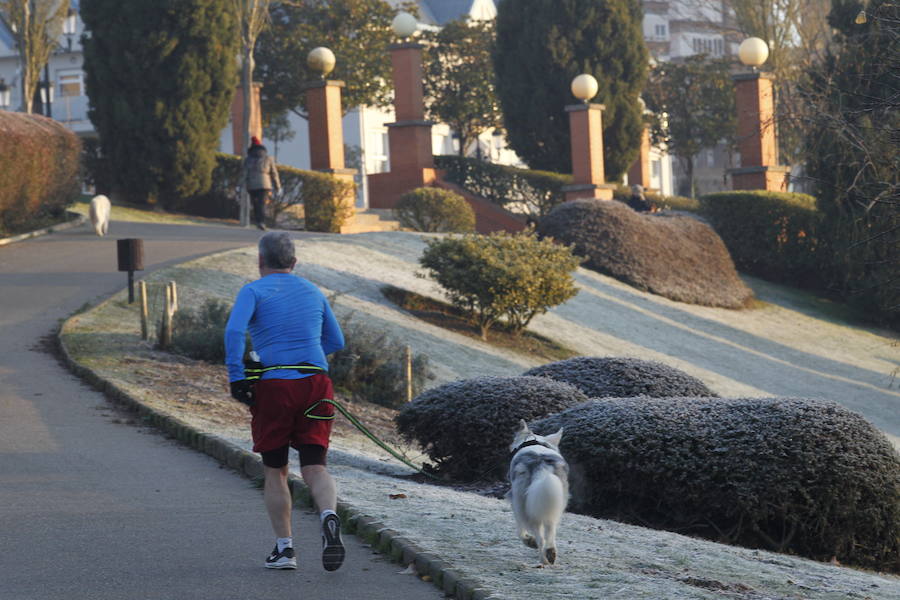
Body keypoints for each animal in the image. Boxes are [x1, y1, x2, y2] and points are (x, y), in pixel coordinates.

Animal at [506, 420, 568, 564]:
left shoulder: (516, 504)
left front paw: (528, 540)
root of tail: (542, 467)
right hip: (554, 503)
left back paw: (542, 558)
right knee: (550, 531)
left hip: (525, 506)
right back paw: (550, 553)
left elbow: (520, 530)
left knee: (540, 537)